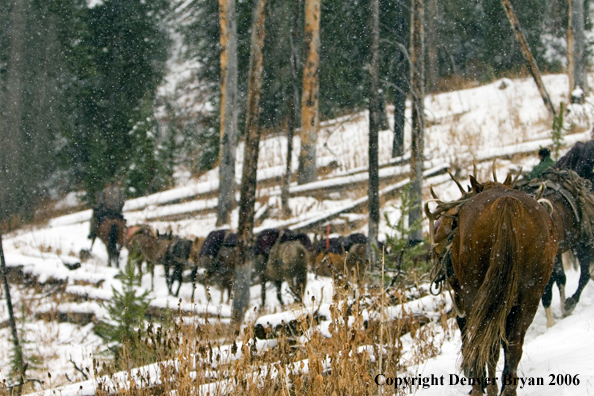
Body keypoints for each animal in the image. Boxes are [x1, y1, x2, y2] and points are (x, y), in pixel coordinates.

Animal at [426, 179, 556, 396]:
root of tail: (507, 204)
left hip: (475, 292)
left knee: (483, 340)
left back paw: (481, 387)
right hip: (529, 295)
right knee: (513, 344)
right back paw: (507, 389)